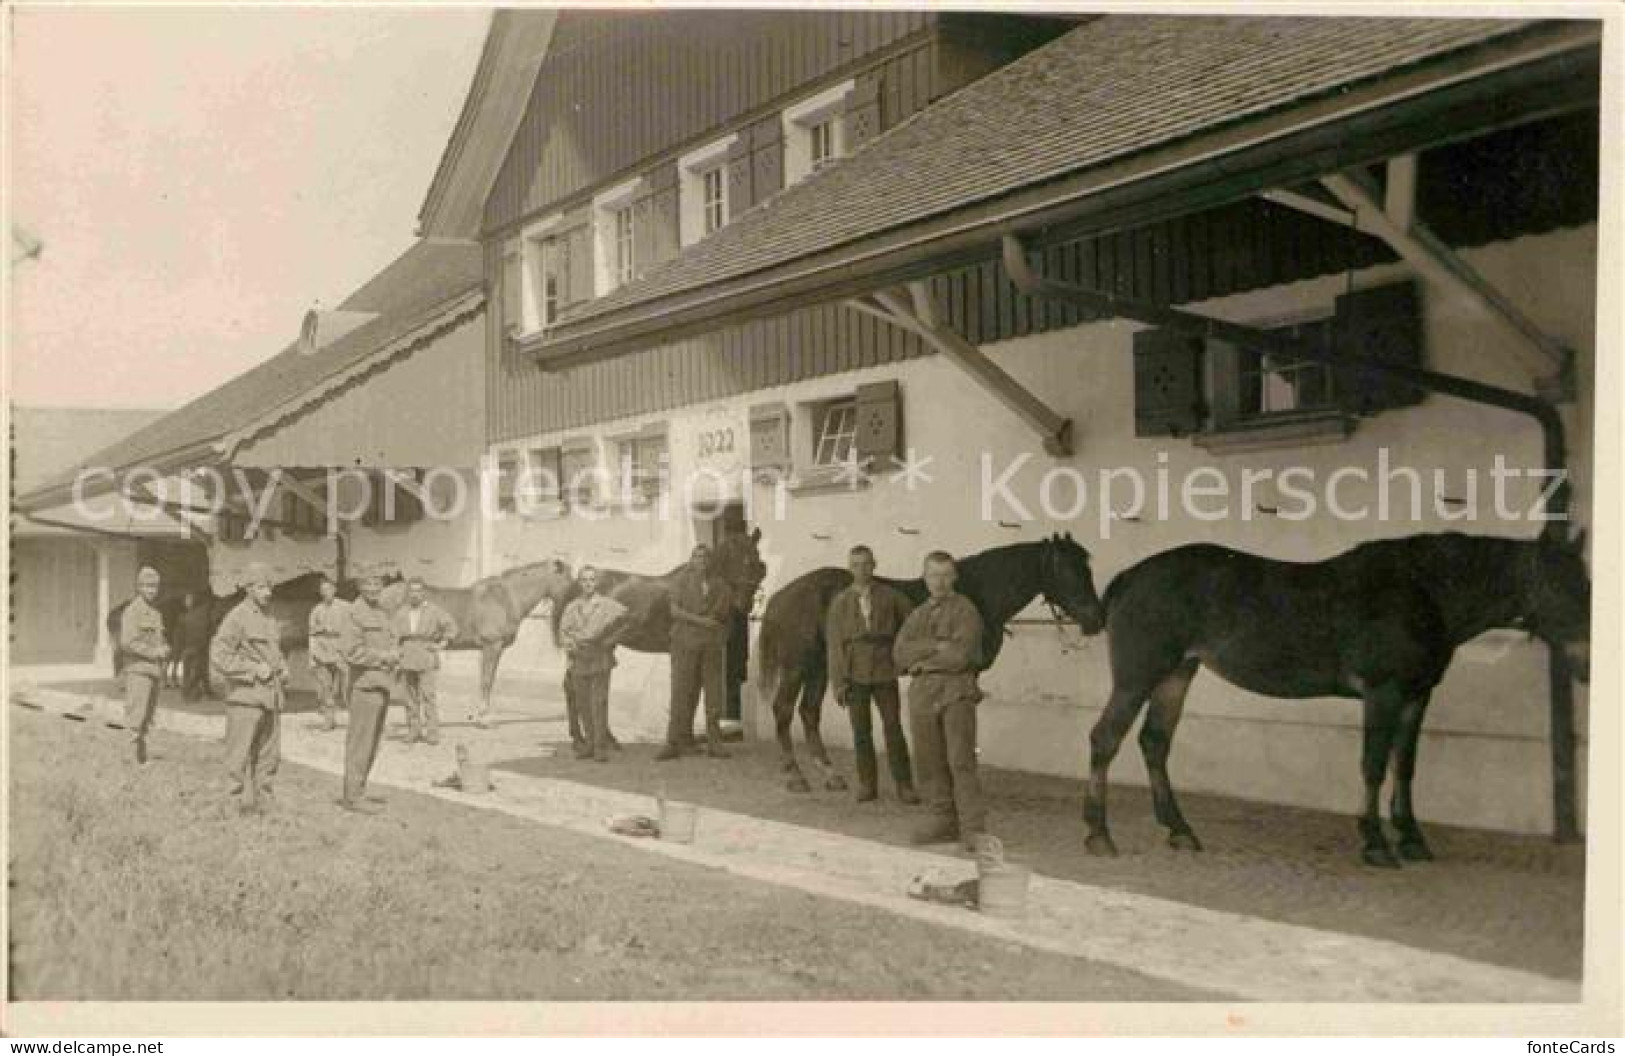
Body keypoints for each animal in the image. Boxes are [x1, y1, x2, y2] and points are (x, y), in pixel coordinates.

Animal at [754, 536, 1111, 789]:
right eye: (1066, 569)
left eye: (1087, 567)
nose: (1096, 618)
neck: (976, 594)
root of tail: (782, 595)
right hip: (798, 667)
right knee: (783, 711)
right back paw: (795, 776)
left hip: (820, 668)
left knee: (808, 713)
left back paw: (830, 775)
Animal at [1085, 526, 1592, 864]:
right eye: (1560, 586)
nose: (1587, 667)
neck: (1424, 591)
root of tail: (1129, 576)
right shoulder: (1383, 692)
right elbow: (1373, 764)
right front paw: (1375, 843)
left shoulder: (1416, 696)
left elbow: (1404, 766)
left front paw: (1412, 838)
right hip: (1139, 677)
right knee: (1105, 739)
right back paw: (1099, 835)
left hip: (1176, 674)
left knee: (1154, 742)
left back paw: (1180, 831)